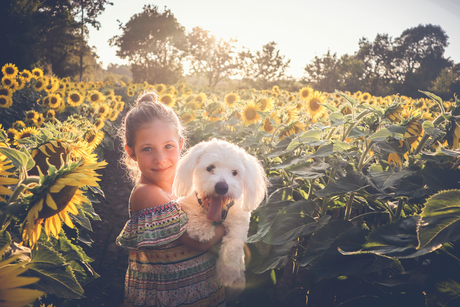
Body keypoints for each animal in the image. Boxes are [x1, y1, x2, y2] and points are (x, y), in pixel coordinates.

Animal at [172, 139, 266, 292]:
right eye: (210, 168)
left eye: (234, 172)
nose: (222, 187)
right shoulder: (186, 201)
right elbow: (195, 209)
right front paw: (201, 229)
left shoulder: (239, 224)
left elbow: (232, 249)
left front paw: (227, 275)